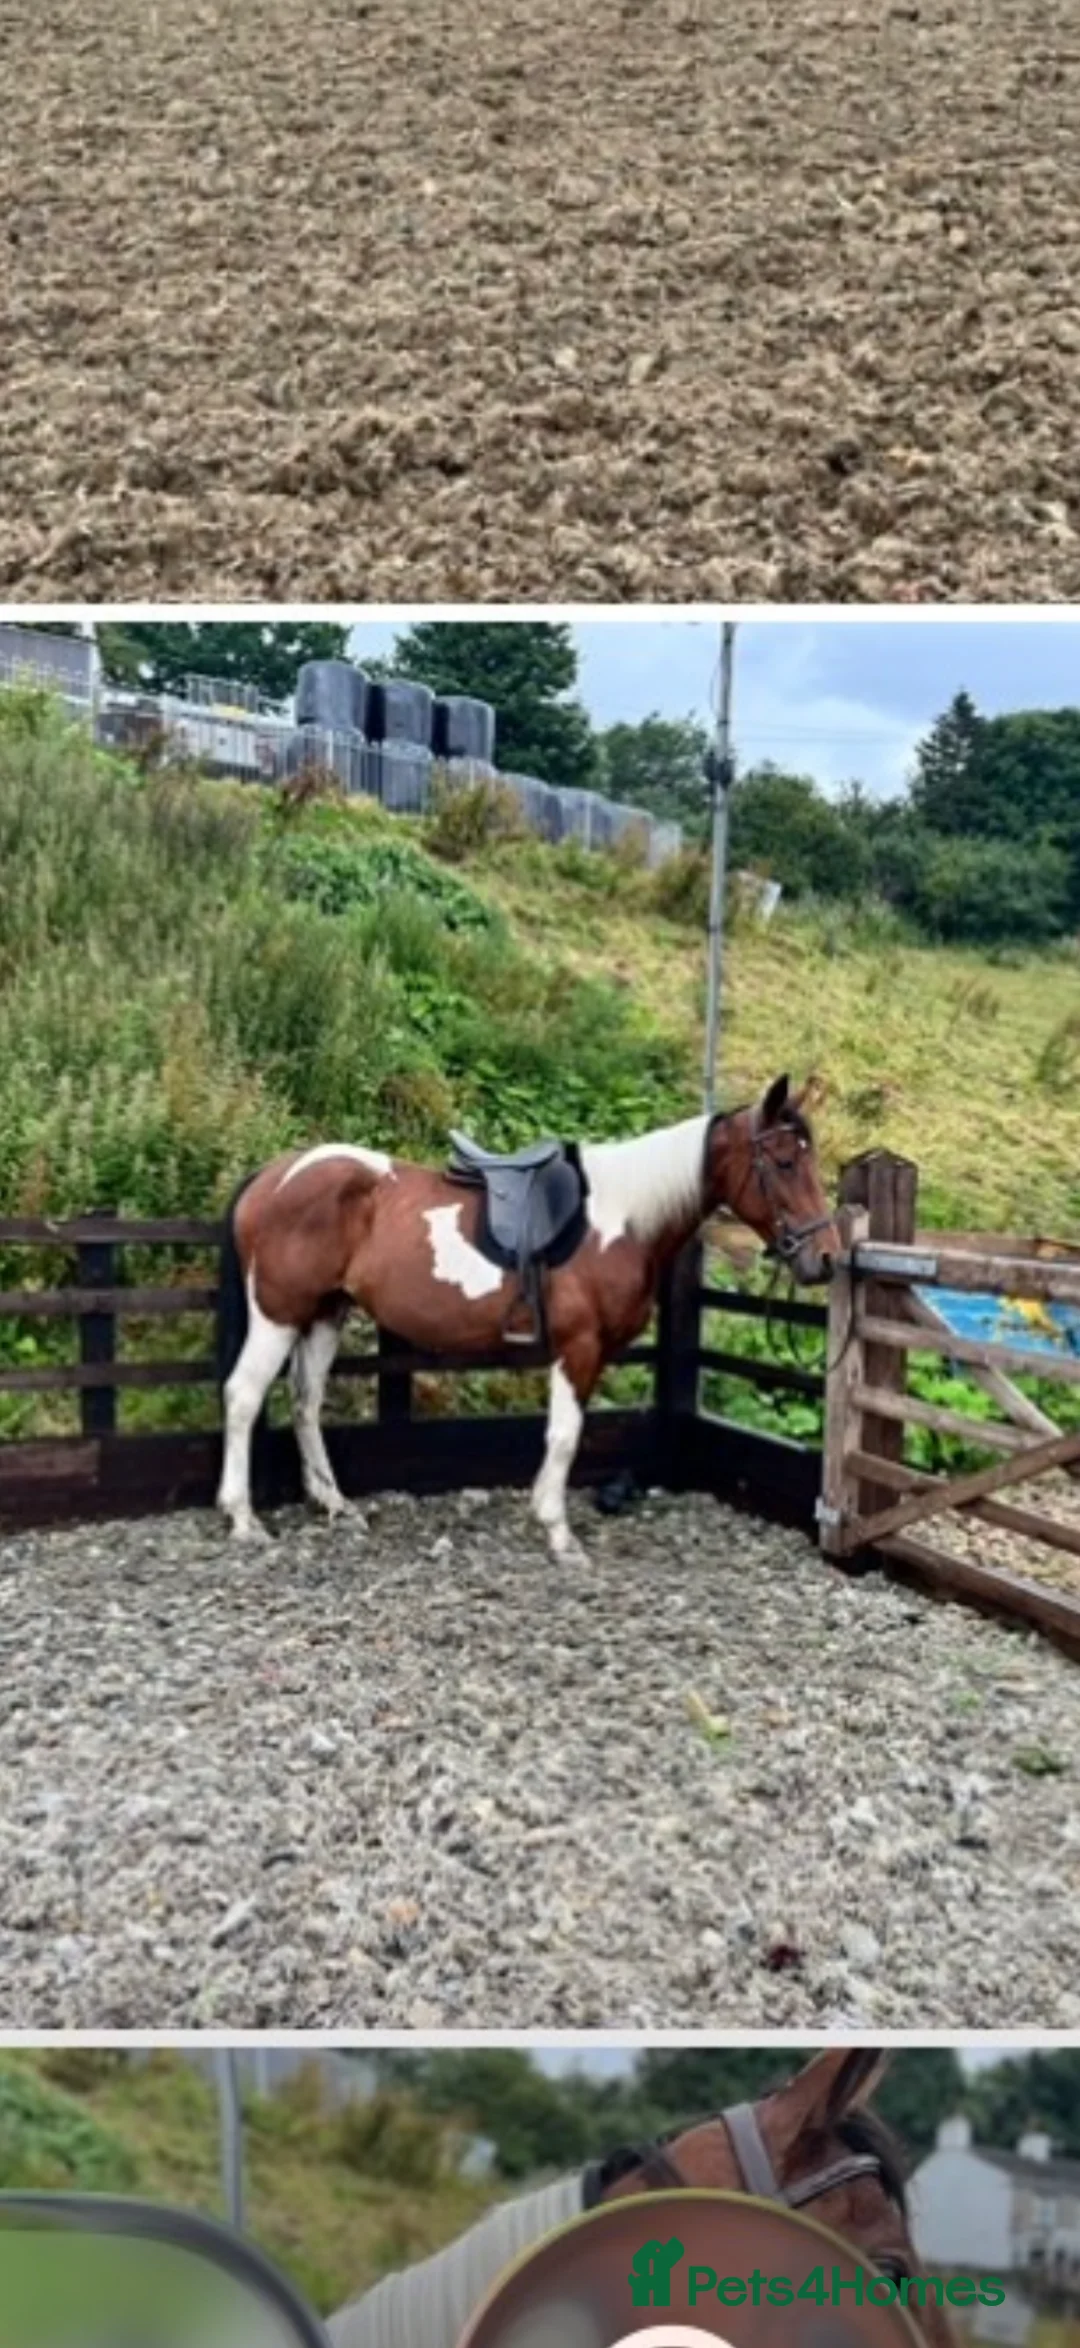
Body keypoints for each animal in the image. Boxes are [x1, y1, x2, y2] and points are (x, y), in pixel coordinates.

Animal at [215, 1074, 839, 1554]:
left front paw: (543, 1511)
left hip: (325, 1314)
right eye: (785, 1162)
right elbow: (565, 1435)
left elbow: (561, 1434)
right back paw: (243, 1518)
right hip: (278, 1314)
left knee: (305, 1402)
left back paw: (335, 1504)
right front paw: (558, 1532)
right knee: (243, 1396)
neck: (621, 1219)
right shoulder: (578, 1348)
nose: (827, 1258)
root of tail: (271, 1178)